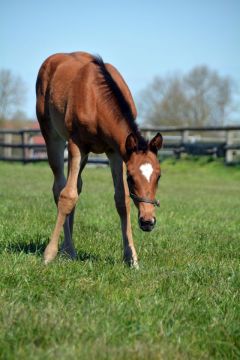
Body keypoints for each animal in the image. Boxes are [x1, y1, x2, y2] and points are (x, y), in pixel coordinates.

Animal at [35, 51, 163, 268]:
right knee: (60, 187)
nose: (148, 221)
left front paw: (132, 258)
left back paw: (67, 248)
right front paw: (49, 254)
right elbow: (67, 196)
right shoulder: (77, 144)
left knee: (76, 185)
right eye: (131, 177)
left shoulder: (116, 152)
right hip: (53, 137)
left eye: (159, 176)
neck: (96, 99)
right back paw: (67, 249)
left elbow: (121, 200)